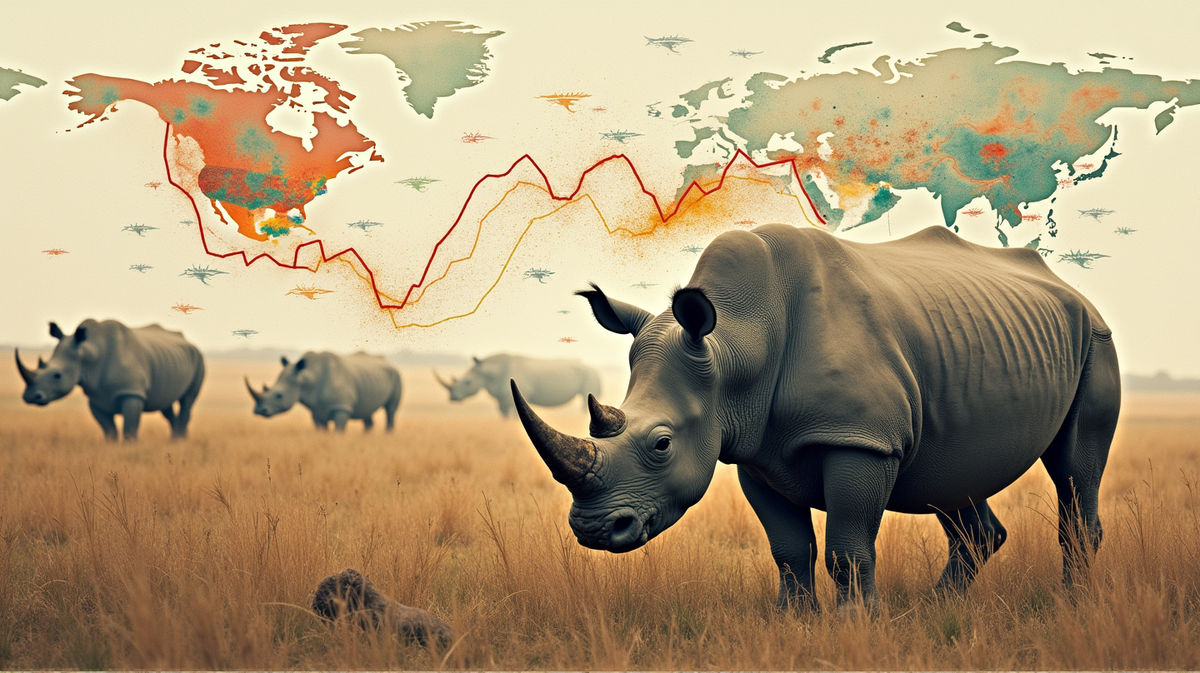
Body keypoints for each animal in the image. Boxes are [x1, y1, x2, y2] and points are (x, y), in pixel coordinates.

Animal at [16, 319, 205, 441]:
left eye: (57, 375)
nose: (30, 396)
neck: (89, 353)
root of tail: (188, 341)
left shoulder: (132, 392)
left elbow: (129, 427)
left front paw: (130, 448)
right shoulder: (96, 397)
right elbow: (108, 429)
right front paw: (111, 447)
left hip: (199, 359)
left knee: (187, 400)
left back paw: (180, 442)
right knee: (166, 404)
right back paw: (174, 440)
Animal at [247, 351, 402, 432]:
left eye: (279, 396)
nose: (258, 410)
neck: (307, 378)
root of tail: (389, 362)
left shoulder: (341, 407)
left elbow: (339, 429)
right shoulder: (316, 409)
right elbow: (321, 429)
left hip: (396, 375)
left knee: (390, 410)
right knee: (367, 411)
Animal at [434, 354, 601, 417]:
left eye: (467, 383)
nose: (452, 397)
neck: (489, 371)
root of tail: (595, 369)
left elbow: (515, 415)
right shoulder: (501, 398)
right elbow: (504, 415)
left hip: (590, 376)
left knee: (586, 398)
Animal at [511, 224, 1121, 610]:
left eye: (661, 444)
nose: (593, 531)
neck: (736, 341)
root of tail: (1072, 290)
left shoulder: (861, 439)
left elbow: (848, 551)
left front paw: (861, 627)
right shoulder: (754, 452)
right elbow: (789, 552)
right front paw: (796, 626)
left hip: (1095, 337)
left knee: (1074, 469)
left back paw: (1072, 607)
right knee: (955, 478)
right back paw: (935, 612)